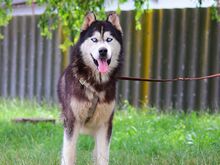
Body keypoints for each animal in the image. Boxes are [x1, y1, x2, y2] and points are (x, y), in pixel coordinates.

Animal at [58, 11, 124, 165]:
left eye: (109, 39)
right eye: (94, 40)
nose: (103, 51)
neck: (96, 84)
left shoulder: (105, 124)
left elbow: (103, 156)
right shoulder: (72, 121)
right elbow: (69, 153)